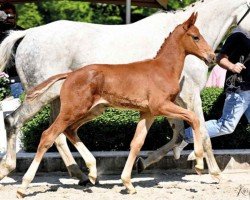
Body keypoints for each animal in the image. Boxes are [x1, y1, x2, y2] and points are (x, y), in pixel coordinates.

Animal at [18, 13, 216, 198]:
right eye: (195, 37)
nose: (212, 56)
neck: (163, 69)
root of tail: (69, 75)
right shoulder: (160, 105)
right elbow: (194, 118)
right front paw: (199, 163)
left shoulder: (148, 112)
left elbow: (137, 143)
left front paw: (128, 183)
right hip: (72, 110)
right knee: (48, 135)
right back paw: (23, 186)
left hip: (91, 110)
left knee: (70, 130)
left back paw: (92, 171)